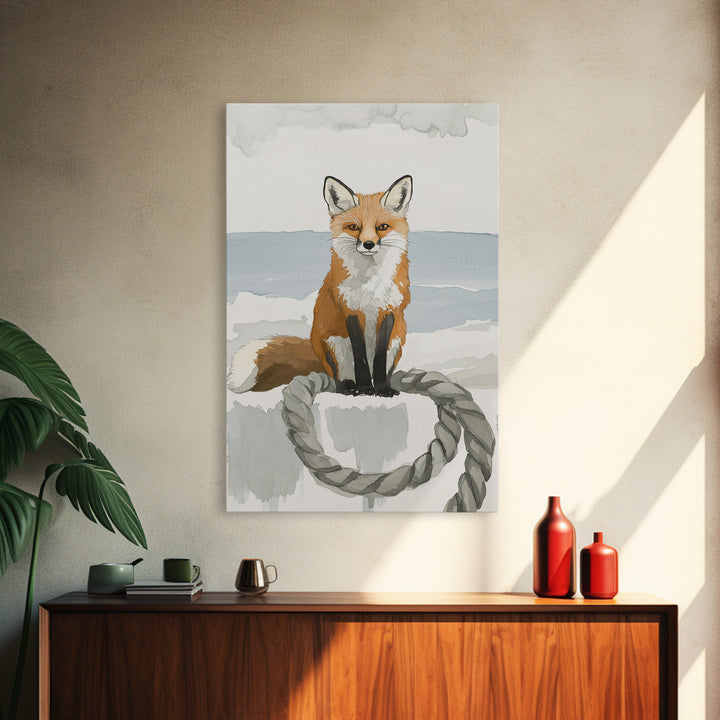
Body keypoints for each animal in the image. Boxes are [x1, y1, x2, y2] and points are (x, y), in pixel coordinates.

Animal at [227, 174, 413, 397]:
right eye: (354, 227)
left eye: (382, 227)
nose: (368, 244)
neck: (370, 283)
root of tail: (316, 350)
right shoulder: (350, 310)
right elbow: (360, 357)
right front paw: (365, 387)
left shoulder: (389, 310)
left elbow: (378, 359)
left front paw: (382, 388)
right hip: (335, 344)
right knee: (338, 379)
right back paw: (349, 386)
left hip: (396, 342)